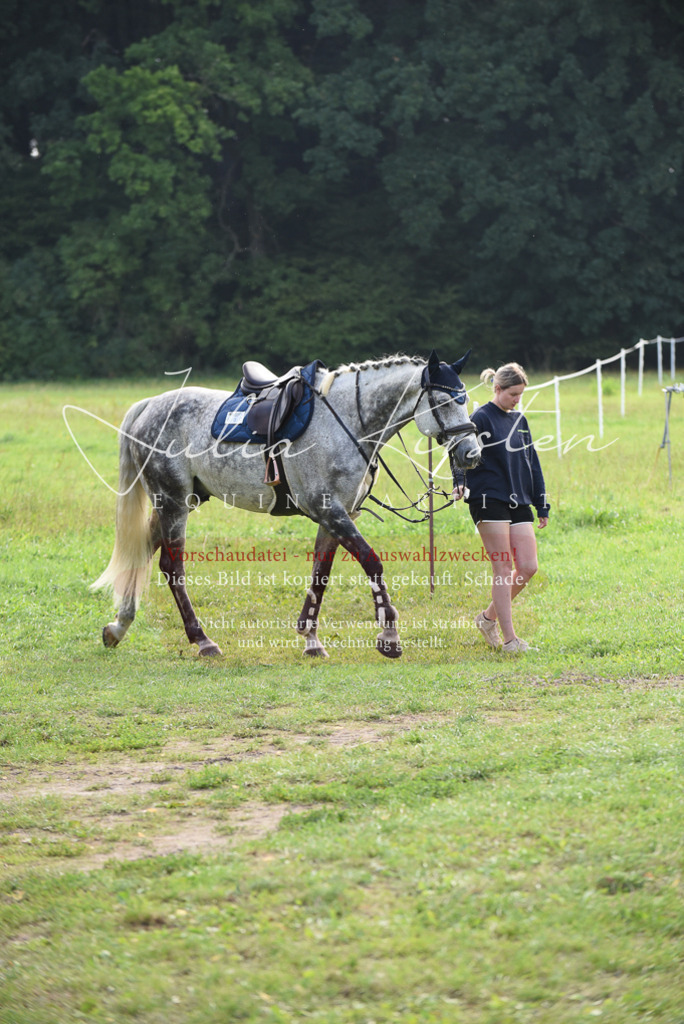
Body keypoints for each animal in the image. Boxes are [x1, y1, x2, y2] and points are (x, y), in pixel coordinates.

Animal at [92, 351, 480, 659]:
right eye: (445, 402)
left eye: (465, 399)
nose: (471, 453)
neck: (347, 421)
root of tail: (148, 405)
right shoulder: (331, 511)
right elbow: (372, 562)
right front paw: (389, 636)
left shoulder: (336, 515)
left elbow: (320, 576)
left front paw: (310, 639)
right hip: (172, 502)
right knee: (172, 569)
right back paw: (202, 640)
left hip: (183, 500)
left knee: (140, 553)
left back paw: (118, 626)